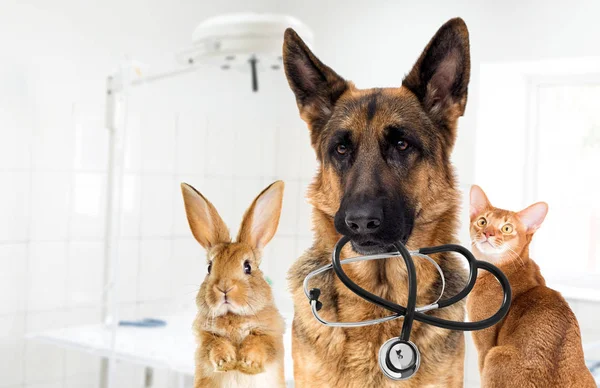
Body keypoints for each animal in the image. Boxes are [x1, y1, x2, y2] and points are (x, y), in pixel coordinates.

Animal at [180, 182, 286, 388]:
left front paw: (247, 364)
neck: (233, 316)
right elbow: (216, 345)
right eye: (209, 267)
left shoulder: (271, 337)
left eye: (248, 266)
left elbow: (258, 343)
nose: (224, 288)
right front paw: (227, 362)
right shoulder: (205, 339)